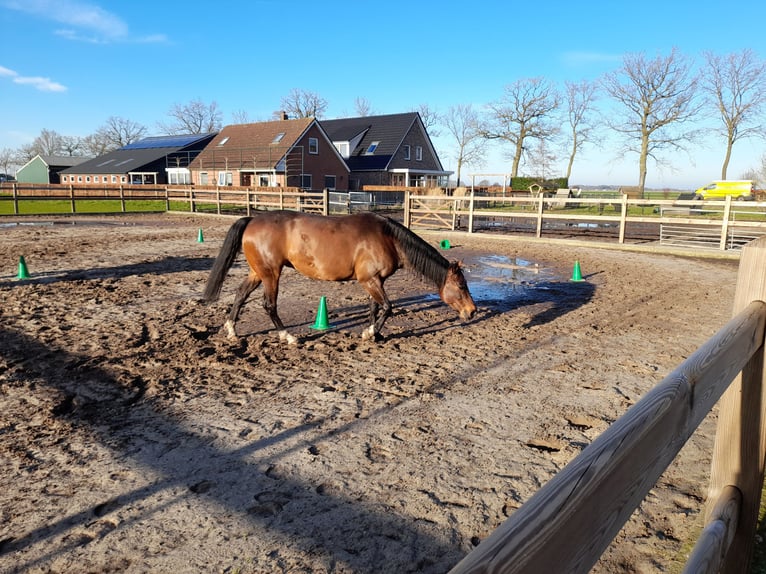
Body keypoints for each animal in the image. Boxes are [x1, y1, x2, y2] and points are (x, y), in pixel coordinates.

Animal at [202, 210, 476, 343]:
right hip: (271, 274)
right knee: (269, 305)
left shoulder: (374, 281)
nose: (472, 312)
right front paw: (371, 333)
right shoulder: (370, 281)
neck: (388, 238)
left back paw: (232, 331)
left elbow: (375, 309)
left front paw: (374, 333)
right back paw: (288, 337)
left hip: (258, 272)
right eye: (462, 286)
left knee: (240, 294)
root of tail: (252, 220)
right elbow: (388, 307)